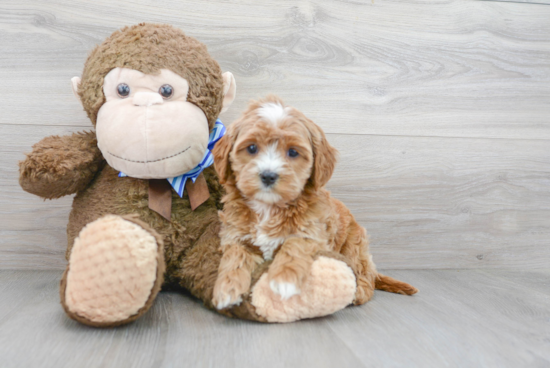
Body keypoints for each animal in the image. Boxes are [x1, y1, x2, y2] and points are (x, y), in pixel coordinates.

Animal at [212, 95, 418, 310]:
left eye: (293, 152)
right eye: (252, 148)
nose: (268, 176)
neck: (268, 207)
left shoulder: (313, 233)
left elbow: (294, 244)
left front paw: (284, 280)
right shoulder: (235, 235)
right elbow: (235, 254)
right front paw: (227, 288)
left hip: (354, 246)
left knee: (364, 275)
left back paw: (359, 292)